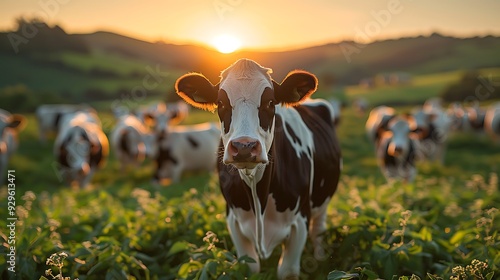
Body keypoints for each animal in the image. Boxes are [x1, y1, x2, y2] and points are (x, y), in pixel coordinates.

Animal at [174, 58, 342, 278]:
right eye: (220, 103)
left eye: (270, 102)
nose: (244, 146)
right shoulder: (233, 219)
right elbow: (250, 267)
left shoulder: (300, 220)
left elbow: (287, 270)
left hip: (323, 201)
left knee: (318, 230)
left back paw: (320, 257)